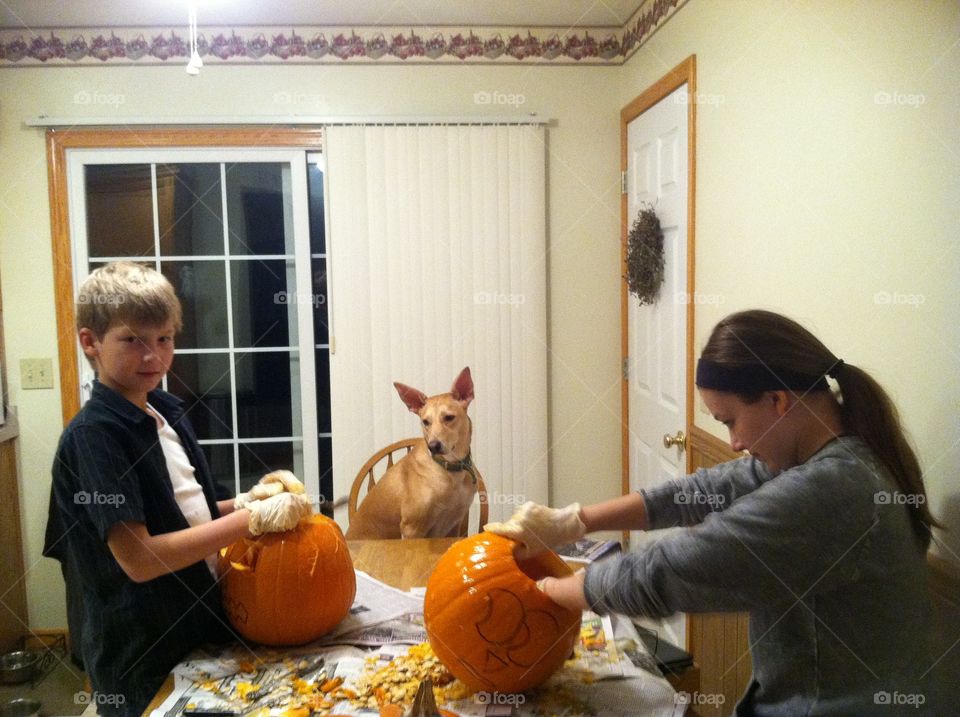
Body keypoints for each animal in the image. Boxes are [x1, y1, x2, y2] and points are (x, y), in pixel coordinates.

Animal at [346, 366, 478, 540]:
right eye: (425, 422)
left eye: (449, 417)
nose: (433, 446)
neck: (450, 469)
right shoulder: (412, 528)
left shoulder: (454, 524)